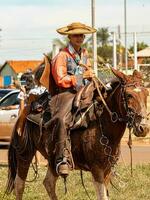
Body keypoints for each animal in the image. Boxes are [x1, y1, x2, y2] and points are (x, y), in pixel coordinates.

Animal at [5, 69, 149, 200]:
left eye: (146, 93)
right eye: (129, 95)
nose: (144, 128)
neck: (102, 123)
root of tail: (27, 108)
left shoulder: (107, 170)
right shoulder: (97, 169)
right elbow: (102, 196)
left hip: (52, 159)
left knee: (48, 183)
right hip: (25, 154)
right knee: (19, 185)